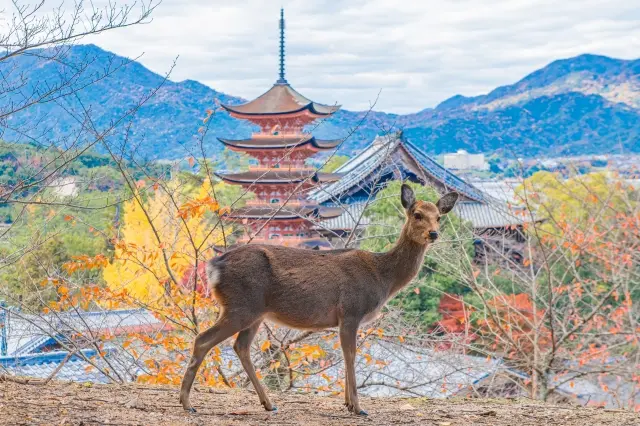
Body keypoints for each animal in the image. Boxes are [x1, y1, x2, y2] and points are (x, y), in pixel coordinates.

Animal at [179, 184, 460, 416]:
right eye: (417, 214)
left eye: (439, 216)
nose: (434, 233)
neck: (383, 276)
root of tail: (213, 267)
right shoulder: (351, 310)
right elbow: (350, 354)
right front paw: (357, 407)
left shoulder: (343, 319)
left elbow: (347, 354)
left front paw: (347, 403)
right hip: (240, 306)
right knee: (203, 339)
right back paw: (187, 403)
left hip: (254, 312)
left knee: (241, 347)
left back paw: (268, 403)